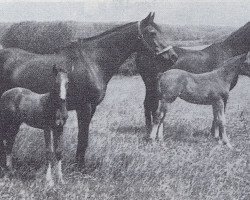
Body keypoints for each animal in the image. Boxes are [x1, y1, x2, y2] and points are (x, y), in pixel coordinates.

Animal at [0, 12, 178, 168]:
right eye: (152, 32)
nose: (173, 56)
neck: (93, 62)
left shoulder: (91, 108)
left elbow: (83, 138)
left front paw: (80, 163)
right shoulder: (84, 107)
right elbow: (83, 137)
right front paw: (80, 167)